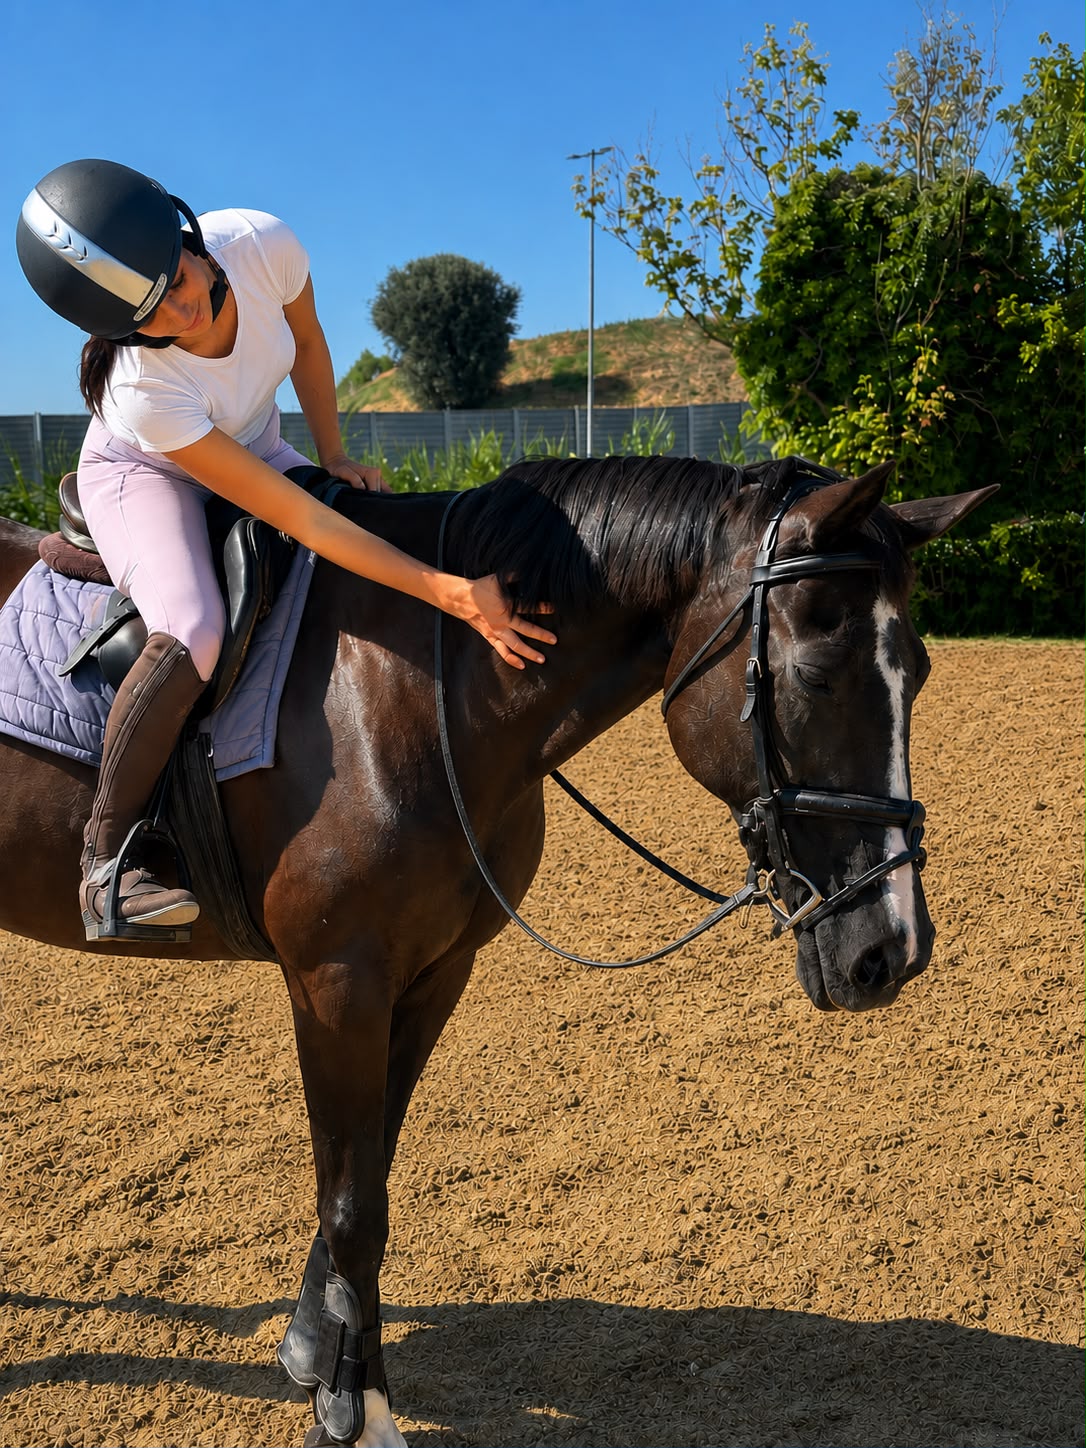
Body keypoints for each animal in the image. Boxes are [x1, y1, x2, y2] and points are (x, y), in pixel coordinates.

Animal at [0, 453, 993, 1446]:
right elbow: (354, 1204)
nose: (893, 948)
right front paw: (356, 1412)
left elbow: (372, 1167)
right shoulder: (336, 985)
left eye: (919, 672)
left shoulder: (434, 974)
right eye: (818, 676)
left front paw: (316, 1358)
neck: (413, 697)